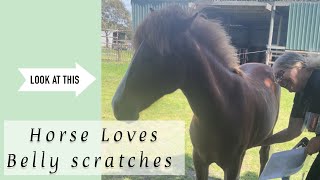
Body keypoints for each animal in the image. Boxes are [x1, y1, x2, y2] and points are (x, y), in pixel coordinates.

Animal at [112, 6, 280, 179]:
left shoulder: (233, 167)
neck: (224, 109)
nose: (117, 106)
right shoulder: (199, 160)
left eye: (157, 55)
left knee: (264, 156)